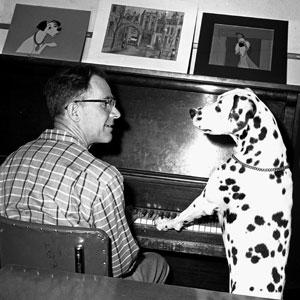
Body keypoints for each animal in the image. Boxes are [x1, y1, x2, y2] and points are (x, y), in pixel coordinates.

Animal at [157, 88, 292, 298]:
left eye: (219, 106)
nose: (192, 111)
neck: (263, 162)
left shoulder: (205, 201)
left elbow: (183, 215)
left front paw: (166, 223)